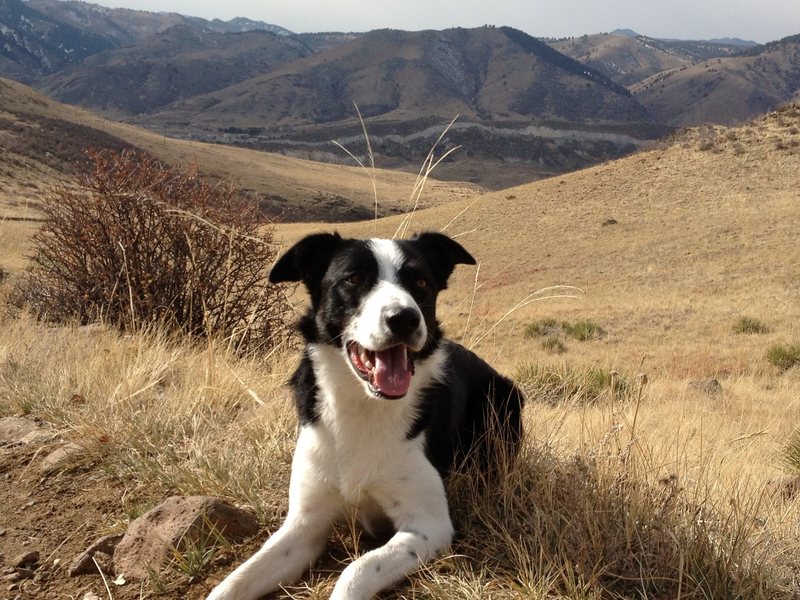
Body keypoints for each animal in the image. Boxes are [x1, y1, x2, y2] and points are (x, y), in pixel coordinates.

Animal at [208, 232, 524, 596]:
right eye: (354, 278)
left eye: (421, 282)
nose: (404, 318)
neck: (363, 405)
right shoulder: (304, 525)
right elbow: (234, 581)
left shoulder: (428, 526)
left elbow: (356, 570)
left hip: (505, 400)